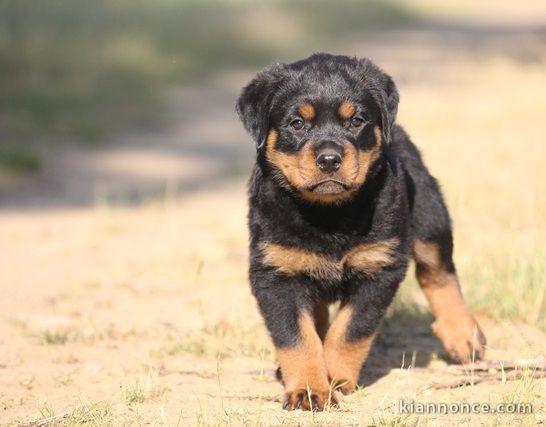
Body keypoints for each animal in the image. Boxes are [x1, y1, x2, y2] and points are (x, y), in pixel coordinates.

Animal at [234, 53, 484, 412]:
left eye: (356, 121)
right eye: (297, 123)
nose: (329, 159)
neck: (329, 213)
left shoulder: (379, 268)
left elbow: (350, 329)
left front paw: (335, 376)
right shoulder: (275, 271)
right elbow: (296, 336)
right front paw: (308, 389)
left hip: (429, 213)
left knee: (438, 271)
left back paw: (462, 335)